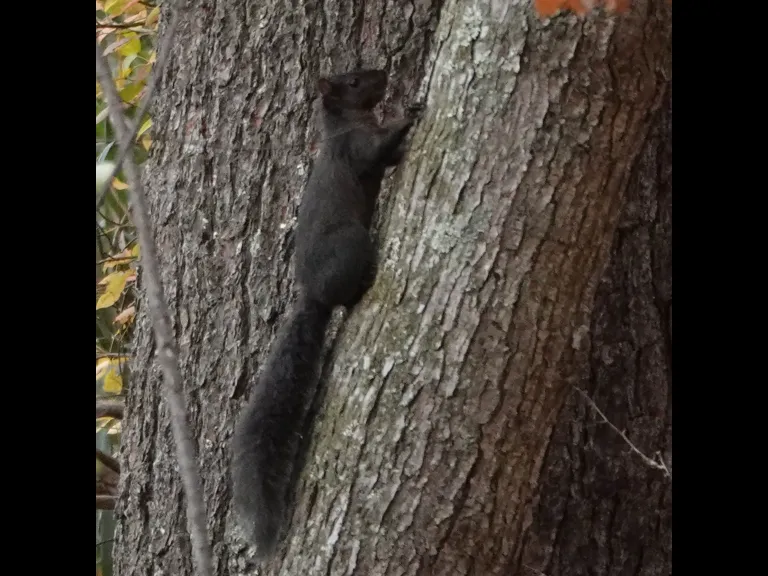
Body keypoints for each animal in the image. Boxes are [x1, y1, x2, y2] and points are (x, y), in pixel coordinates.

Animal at [231, 68, 420, 560]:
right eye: (354, 82)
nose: (383, 73)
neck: (345, 124)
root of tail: (312, 295)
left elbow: (388, 159)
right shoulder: (355, 146)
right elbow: (377, 151)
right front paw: (407, 113)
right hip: (352, 243)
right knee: (346, 296)